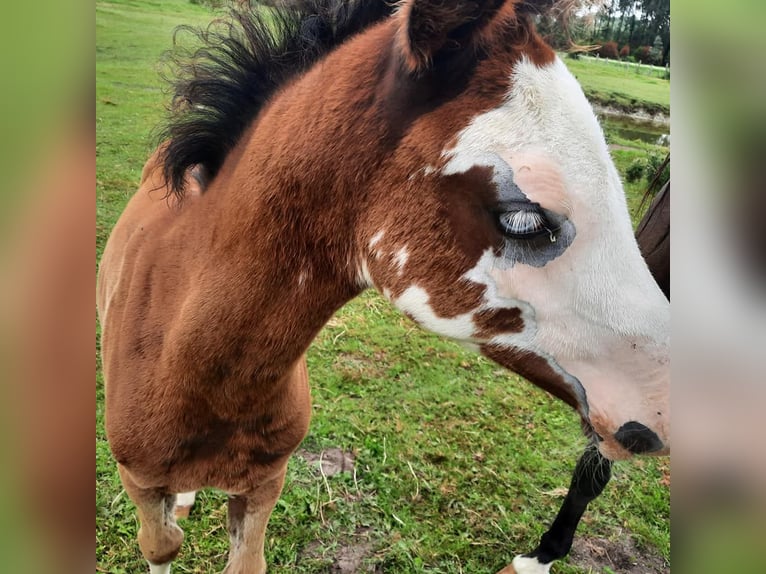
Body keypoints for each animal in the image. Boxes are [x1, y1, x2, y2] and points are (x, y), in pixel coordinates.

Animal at [97, 2, 672, 572]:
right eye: (525, 220)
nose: (666, 404)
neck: (186, 363)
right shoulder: (138, 481)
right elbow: (161, 545)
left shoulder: (265, 484)